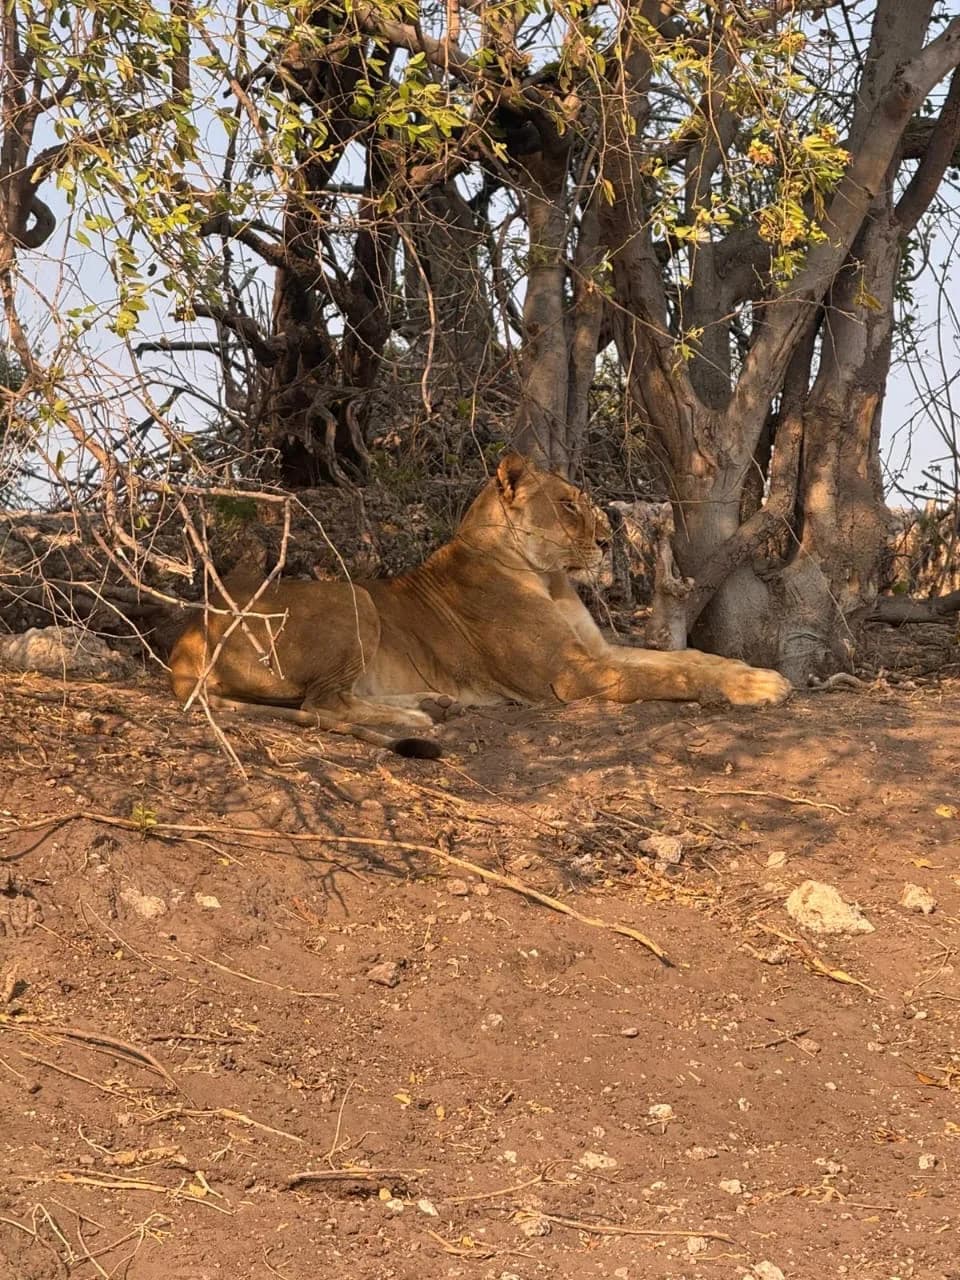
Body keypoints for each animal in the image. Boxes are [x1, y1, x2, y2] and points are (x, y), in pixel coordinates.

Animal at [168, 453, 791, 757]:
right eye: (568, 506)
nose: (606, 541)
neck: (548, 578)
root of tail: (184, 644)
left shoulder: (597, 652)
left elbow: (684, 659)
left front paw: (745, 669)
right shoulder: (573, 676)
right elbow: (674, 676)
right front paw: (755, 686)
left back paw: (433, 702)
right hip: (351, 597)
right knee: (321, 704)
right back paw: (415, 717)